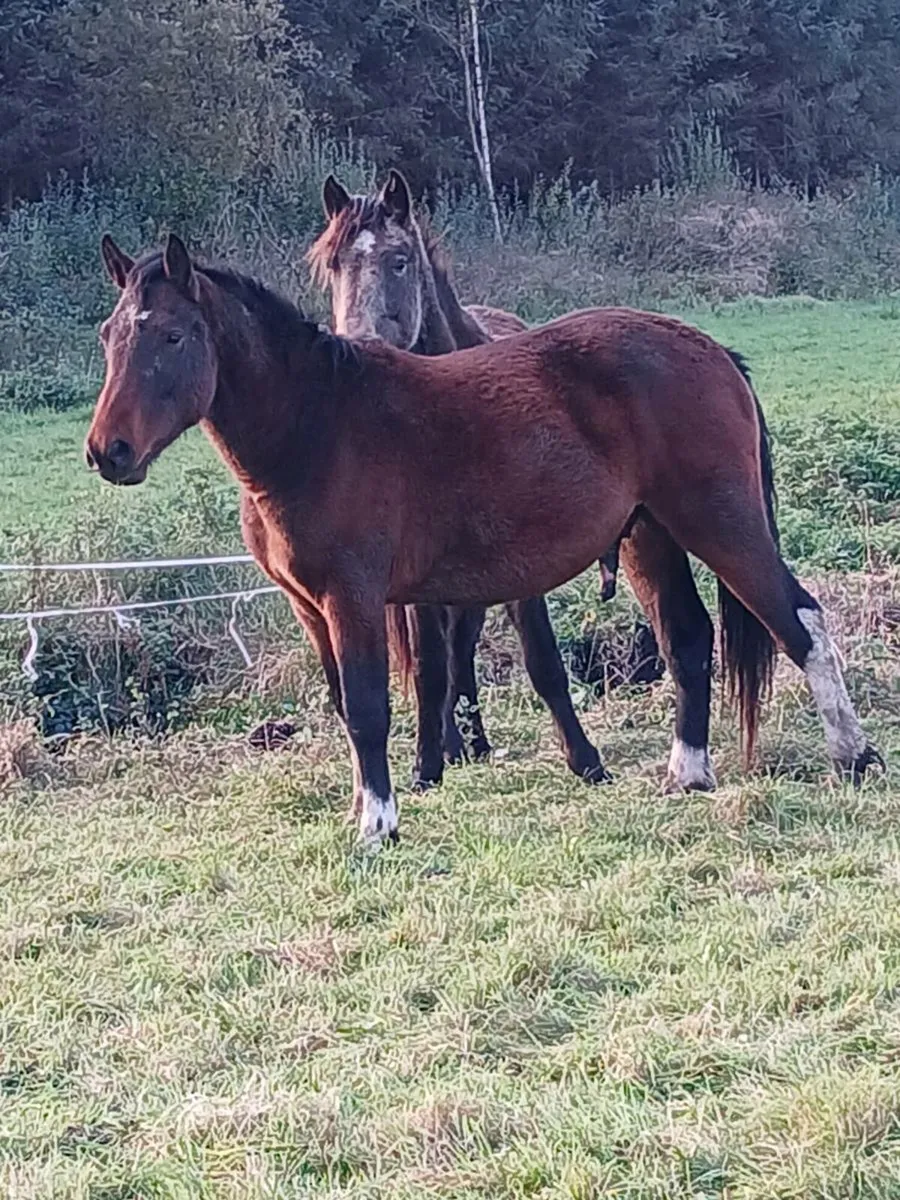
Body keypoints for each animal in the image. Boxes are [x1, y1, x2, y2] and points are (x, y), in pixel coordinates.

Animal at [85, 233, 884, 846]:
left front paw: (378, 826)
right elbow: (346, 707)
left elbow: (370, 708)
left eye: (173, 336)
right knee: (688, 638)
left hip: (719, 522)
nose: (107, 452)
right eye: (110, 337)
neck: (318, 425)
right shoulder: (310, 609)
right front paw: (361, 807)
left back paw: (854, 757)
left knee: (799, 621)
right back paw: (687, 775)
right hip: (649, 537)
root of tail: (711, 348)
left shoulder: (354, 598)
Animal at [308, 169, 609, 791]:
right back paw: (454, 743)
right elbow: (429, 667)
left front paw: (585, 759)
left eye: (400, 260)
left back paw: (473, 740)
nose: (358, 346)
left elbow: (542, 659)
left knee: (463, 646)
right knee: (447, 653)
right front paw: (426, 766)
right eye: (334, 265)